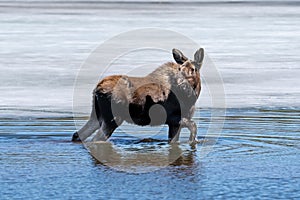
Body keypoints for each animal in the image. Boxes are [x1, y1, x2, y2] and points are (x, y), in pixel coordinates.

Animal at [72, 47, 204, 145]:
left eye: (193, 69)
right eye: (180, 68)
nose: (181, 83)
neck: (192, 97)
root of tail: (97, 89)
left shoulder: (174, 123)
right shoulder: (174, 118)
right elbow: (193, 126)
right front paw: (192, 141)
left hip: (96, 115)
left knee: (77, 134)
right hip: (114, 118)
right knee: (96, 139)